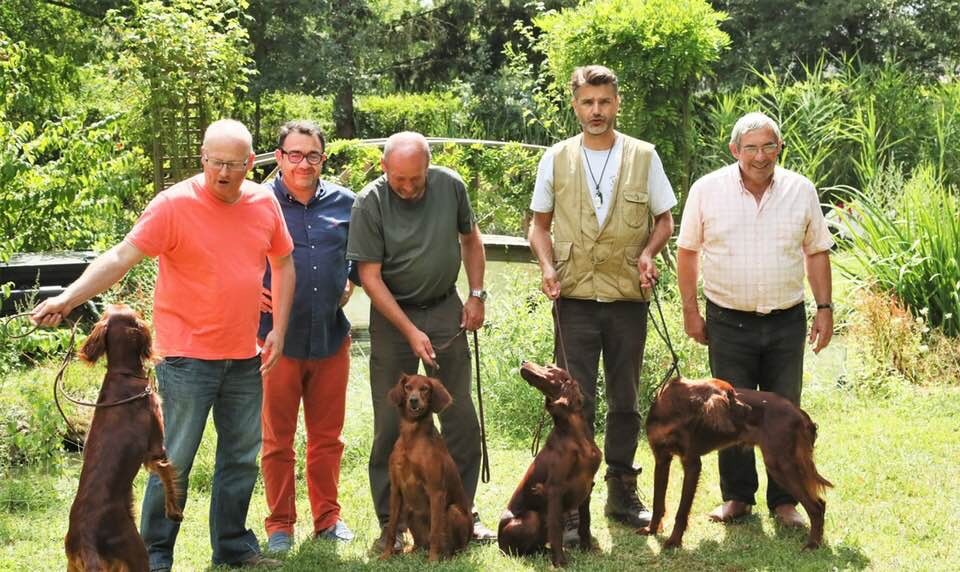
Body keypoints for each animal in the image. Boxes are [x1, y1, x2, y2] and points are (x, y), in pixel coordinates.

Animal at [64, 304, 181, 572]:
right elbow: (167, 474)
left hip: (75, 565)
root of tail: (86, 539)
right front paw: (174, 512)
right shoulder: (155, 448)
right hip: (136, 552)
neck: (123, 374)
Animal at [382, 374, 472, 560]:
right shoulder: (396, 490)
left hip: (453, 511)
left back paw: (444, 556)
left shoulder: (436, 491)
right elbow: (392, 528)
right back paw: (411, 551)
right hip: (409, 510)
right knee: (420, 543)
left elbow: (435, 532)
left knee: (450, 547)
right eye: (407, 387)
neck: (412, 438)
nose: (413, 400)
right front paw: (386, 555)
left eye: (425, 388)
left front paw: (433, 561)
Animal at [496, 362, 600, 568]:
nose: (523, 362)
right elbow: (556, 528)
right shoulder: (554, 490)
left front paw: (587, 548)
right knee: (516, 551)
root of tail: (497, 544)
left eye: (550, 368)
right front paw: (559, 561)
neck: (575, 436)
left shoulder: (588, 486)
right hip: (531, 518)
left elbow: (586, 521)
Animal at [636, 376, 832, 548]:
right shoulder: (661, 459)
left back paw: (813, 544)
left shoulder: (692, 463)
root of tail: (799, 412)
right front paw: (651, 530)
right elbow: (658, 501)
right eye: (729, 396)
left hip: (780, 464)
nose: (750, 409)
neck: (672, 413)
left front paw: (674, 541)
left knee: (817, 506)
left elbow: (682, 510)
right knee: (820, 504)